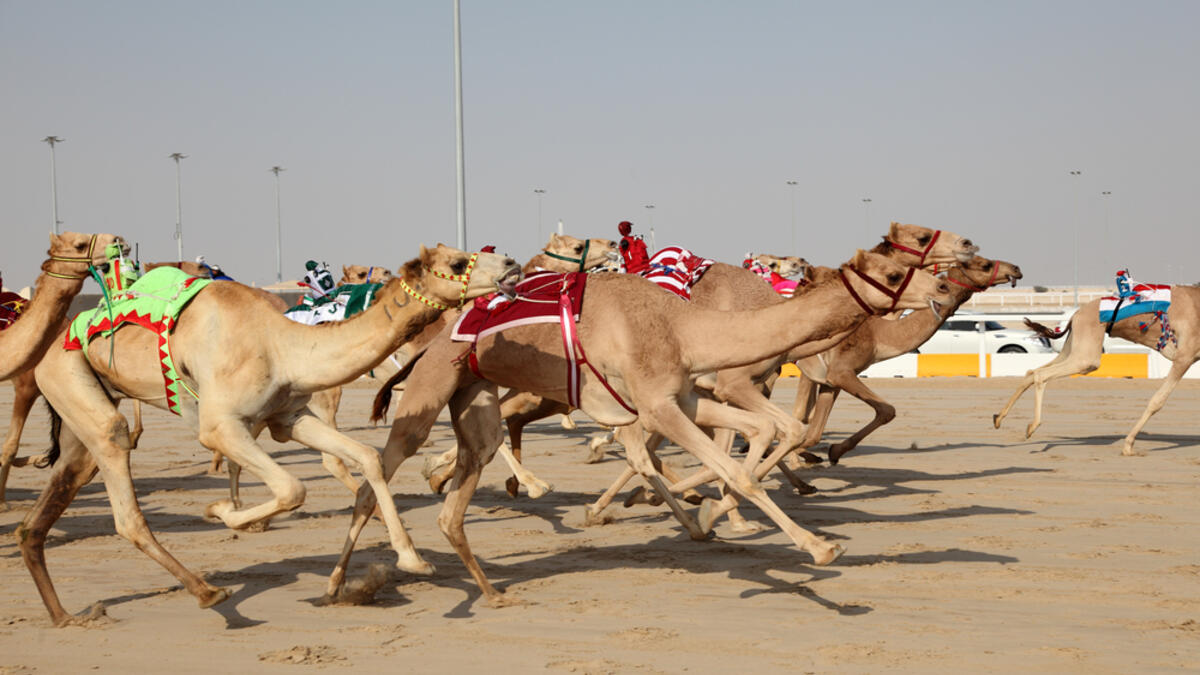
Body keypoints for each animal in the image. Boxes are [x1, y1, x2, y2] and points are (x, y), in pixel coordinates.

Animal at [18, 245, 521, 625]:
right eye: (457, 262)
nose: (512, 264)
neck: (283, 345)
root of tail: (53, 345)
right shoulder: (220, 426)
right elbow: (292, 488)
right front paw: (224, 513)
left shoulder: (288, 416)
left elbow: (367, 457)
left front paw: (412, 558)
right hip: (67, 377)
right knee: (122, 488)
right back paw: (209, 592)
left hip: (82, 410)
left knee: (53, 500)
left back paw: (66, 615)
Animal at [327, 249, 953, 606]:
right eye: (896, 270)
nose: (944, 288)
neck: (684, 325)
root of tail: (430, 338)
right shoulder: (656, 407)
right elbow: (737, 470)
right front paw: (818, 547)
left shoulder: (684, 397)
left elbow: (758, 433)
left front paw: (707, 514)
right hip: (431, 389)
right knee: (379, 474)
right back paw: (351, 580)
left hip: (473, 399)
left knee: (456, 498)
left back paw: (491, 591)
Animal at [791, 256, 1022, 465]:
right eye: (985, 264)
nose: (1016, 269)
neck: (878, 334)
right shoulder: (841, 371)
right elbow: (887, 410)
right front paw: (810, 457)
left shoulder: (831, 379)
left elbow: (814, 431)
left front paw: (824, 453)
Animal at [993, 287, 1200, 456]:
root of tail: (1075, 315)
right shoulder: (1184, 357)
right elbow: (1157, 401)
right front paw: (1128, 446)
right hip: (1086, 355)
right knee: (1041, 375)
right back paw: (1031, 427)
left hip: (1073, 347)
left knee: (1031, 372)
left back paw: (998, 418)